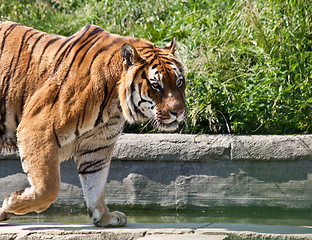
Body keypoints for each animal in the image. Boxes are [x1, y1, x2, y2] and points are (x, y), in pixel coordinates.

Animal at [0, 20, 185, 227]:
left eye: (179, 82)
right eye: (156, 85)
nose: (178, 112)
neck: (114, 103)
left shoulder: (97, 143)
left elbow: (95, 182)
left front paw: (104, 216)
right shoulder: (36, 129)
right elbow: (48, 188)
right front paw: (11, 203)